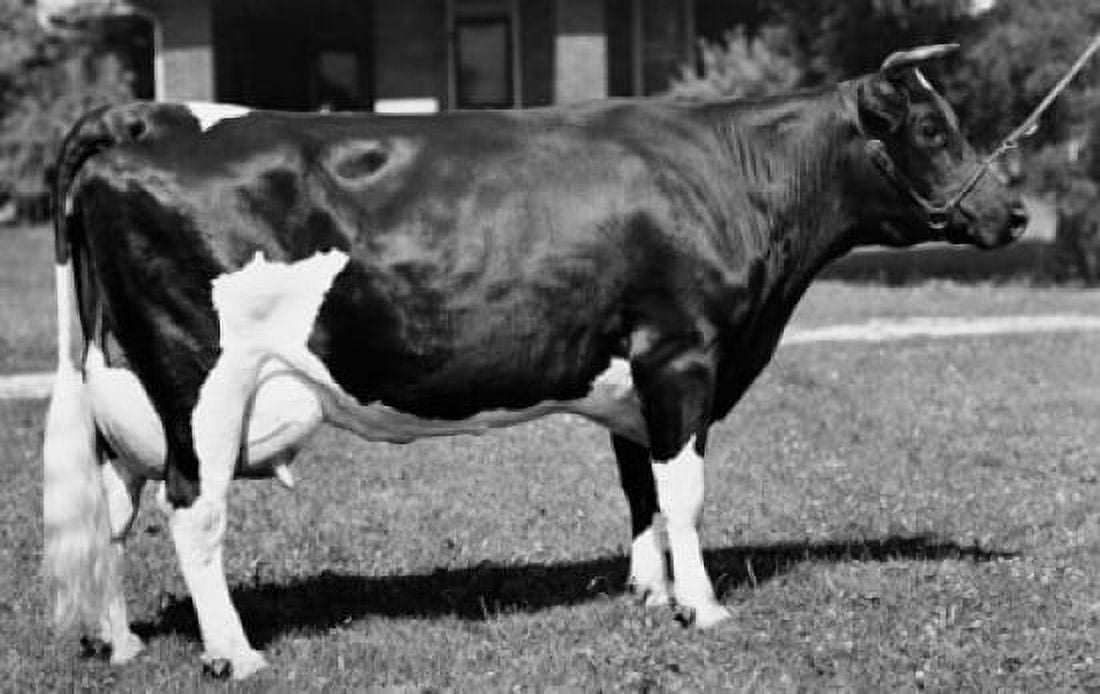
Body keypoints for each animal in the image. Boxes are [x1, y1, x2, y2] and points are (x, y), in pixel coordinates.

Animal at [43, 44, 1027, 679]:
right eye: (931, 129)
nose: (1013, 213)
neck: (735, 178)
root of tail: (149, 115)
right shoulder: (683, 354)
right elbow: (684, 491)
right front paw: (703, 607)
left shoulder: (634, 376)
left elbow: (642, 493)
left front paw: (650, 594)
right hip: (202, 380)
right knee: (191, 510)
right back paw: (233, 653)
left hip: (126, 385)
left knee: (113, 508)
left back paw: (119, 641)